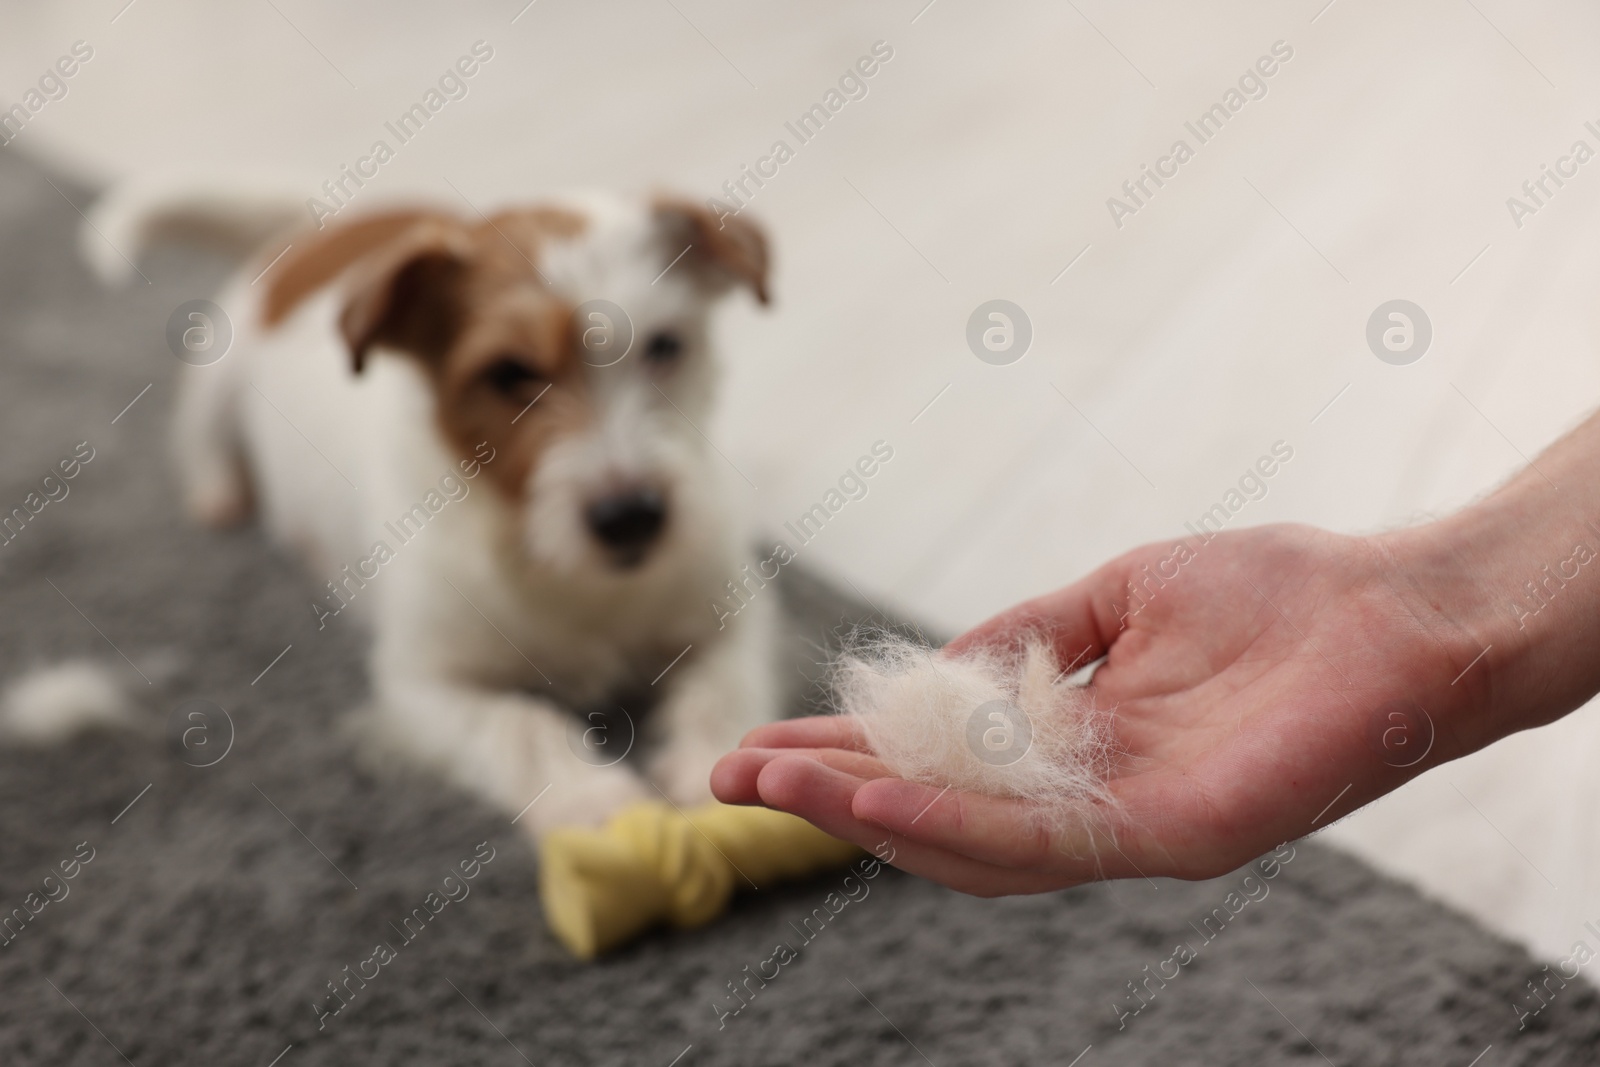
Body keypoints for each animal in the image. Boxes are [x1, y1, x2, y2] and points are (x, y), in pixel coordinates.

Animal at [78, 181, 784, 831]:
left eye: (664, 346)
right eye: (509, 373)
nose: (632, 517)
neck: (550, 565)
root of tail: (323, 227)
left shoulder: (735, 617)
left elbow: (723, 687)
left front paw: (713, 764)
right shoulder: (422, 685)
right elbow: (519, 724)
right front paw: (591, 799)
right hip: (211, 378)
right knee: (200, 441)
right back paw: (219, 495)